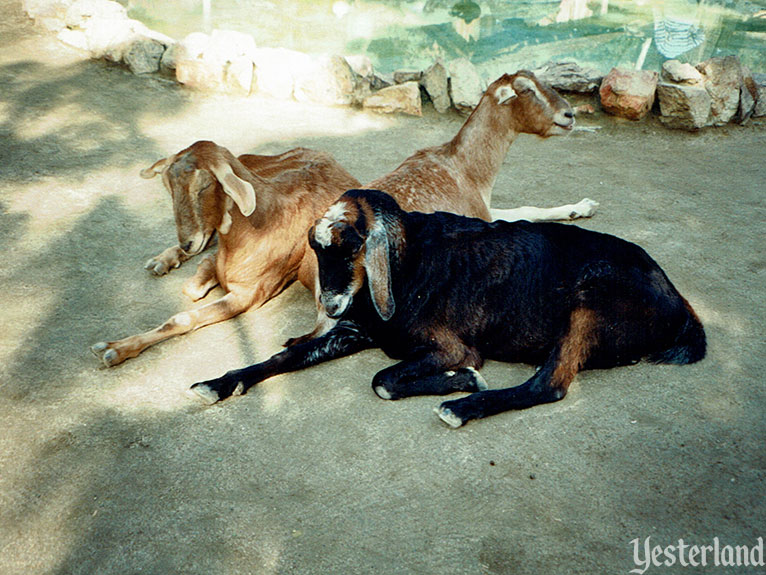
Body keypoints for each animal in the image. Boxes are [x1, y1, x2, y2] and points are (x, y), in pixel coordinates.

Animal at [194, 190, 708, 428]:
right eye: (316, 249)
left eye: (355, 246)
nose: (332, 303)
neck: (411, 266)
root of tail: (680, 304)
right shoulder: (355, 331)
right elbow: (287, 356)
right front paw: (220, 382)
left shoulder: (450, 346)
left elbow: (383, 381)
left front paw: (464, 380)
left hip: (591, 299)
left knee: (550, 385)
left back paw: (462, 407)